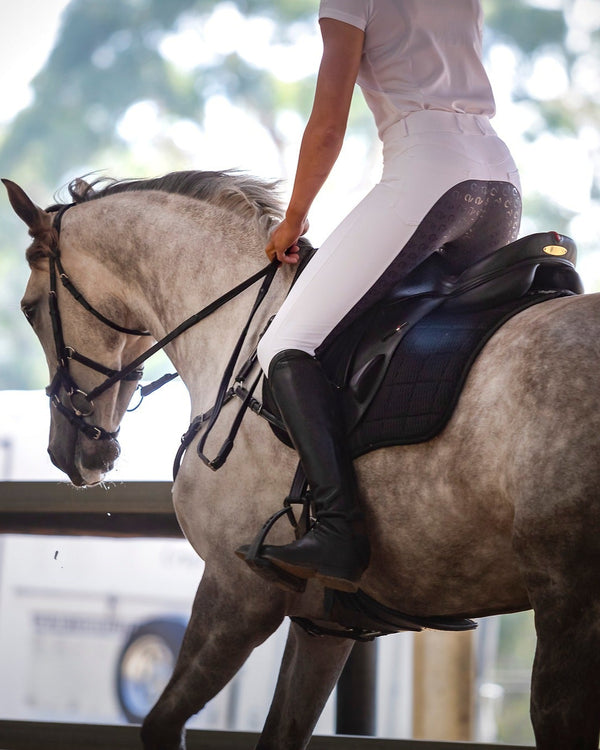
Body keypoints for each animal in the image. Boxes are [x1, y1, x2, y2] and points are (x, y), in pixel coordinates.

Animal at [4, 170, 600, 750]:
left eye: (29, 310)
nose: (69, 453)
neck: (242, 331)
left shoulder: (238, 593)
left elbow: (161, 725)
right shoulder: (325, 625)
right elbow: (282, 732)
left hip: (568, 608)